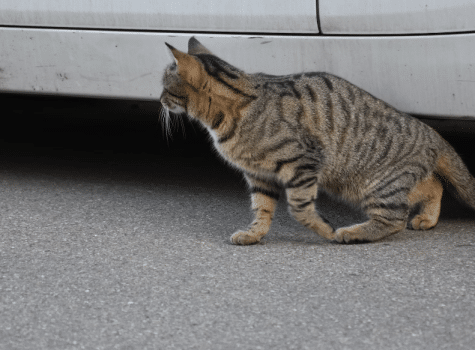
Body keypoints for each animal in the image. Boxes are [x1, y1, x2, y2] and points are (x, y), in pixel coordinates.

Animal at [161, 35, 475, 243]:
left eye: (164, 85)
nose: (160, 99)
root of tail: (431, 132)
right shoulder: (258, 174)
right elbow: (262, 207)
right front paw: (254, 233)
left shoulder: (302, 161)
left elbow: (299, 208)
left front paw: (326, 230)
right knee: (433, 185)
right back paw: (426, 218)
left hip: (373, 184)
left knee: (394, 218)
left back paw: (353, 233)